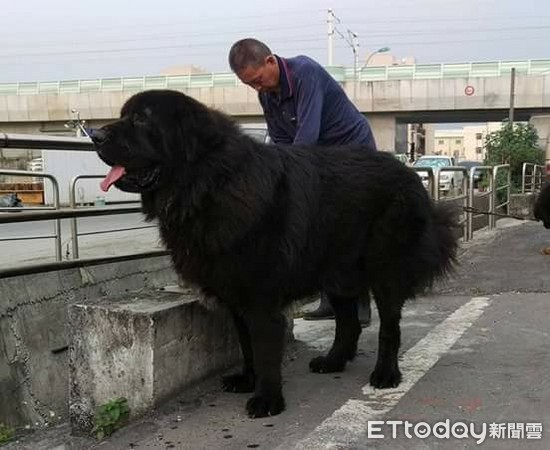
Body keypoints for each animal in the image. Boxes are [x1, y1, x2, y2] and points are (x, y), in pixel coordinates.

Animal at [92, 90, 460, 418]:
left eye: (141, 119)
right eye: (124, 115)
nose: (94, 134)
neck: (209, 186)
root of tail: (409, 173)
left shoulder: (261, 299)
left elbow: (266, 351)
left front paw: (267, 399)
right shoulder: (236, 297)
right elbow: (247, 346)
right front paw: (247, 379)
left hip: (385, 270)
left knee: (388, 327)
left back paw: (386, 374)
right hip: (338, 273)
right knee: (349, 323)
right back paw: (333, 361)